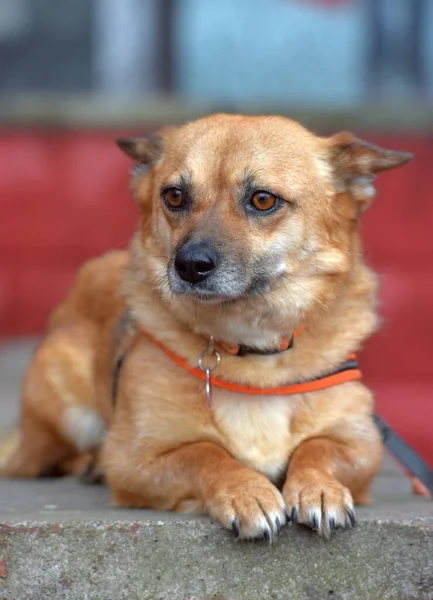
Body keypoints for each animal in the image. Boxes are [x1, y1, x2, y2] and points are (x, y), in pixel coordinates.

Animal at [0, 112, 412, 540]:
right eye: (174, 196)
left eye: (263, 199)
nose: (189, 265)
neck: (252, 351)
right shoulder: (134, 459)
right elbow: (204, 453)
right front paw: (247, 492)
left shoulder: (363, 445)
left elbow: (318, 447)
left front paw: (318, 488)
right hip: (65, 411)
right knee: (47, 462)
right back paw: (88, 464)